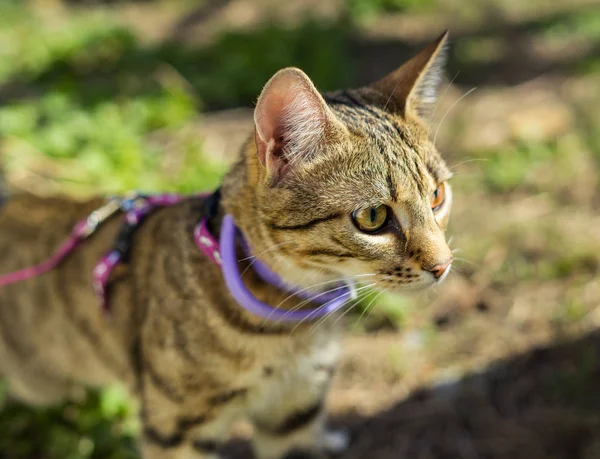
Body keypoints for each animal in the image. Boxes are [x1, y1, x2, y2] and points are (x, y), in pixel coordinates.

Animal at [0, 30, 452, 458]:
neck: (292, 320)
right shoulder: (176, 431)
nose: (444, 264)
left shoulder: (294, 413)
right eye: (373, 217)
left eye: (437, 196)